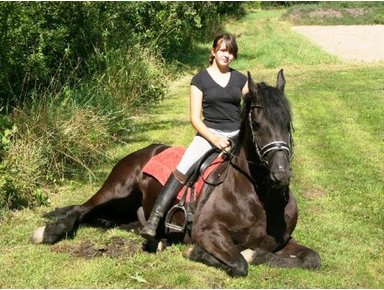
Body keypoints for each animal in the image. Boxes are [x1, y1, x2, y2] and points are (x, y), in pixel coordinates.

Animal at [30, 69, 320, 276]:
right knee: (81, 209)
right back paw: (47, 233)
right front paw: (196, 253)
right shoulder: (208, 232)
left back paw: (156, 239)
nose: (281, 174)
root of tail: (147, 150)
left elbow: (312, 259)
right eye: (257, 125)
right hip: (117, 189)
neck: (259, 199)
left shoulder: (283, 241)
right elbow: (239, 263)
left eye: (288, 123)